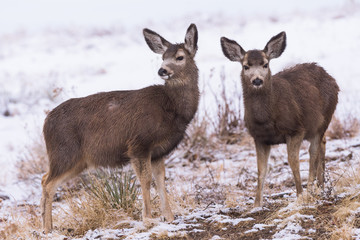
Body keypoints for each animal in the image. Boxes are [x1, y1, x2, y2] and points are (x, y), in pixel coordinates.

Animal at [42, 23, 200, 232]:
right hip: (65, 153)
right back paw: (47, 229)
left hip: (76, 160)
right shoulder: (139, 143)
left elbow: (161, 180)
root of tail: (45, 123)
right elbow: (145, 180)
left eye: (180, 57)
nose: (162, 71)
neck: (172, 107)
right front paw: (148, 219)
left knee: (44, 178)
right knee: (48, 183)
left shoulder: (159, 151)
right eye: (163, 57)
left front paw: (170, 217)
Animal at [221, 31, 338, 206]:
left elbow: (293, 162)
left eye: (265, 64)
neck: (266, 119)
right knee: (322, 144)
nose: (257, 80)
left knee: (313, 152)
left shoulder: (295, 129)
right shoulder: (259, 137)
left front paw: (300, 195)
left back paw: (311, 189)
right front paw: (256, 204)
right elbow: (261, 170)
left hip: (324, 118)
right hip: (316, 128)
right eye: (246, 66)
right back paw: (321, 186)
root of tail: (331, 77)